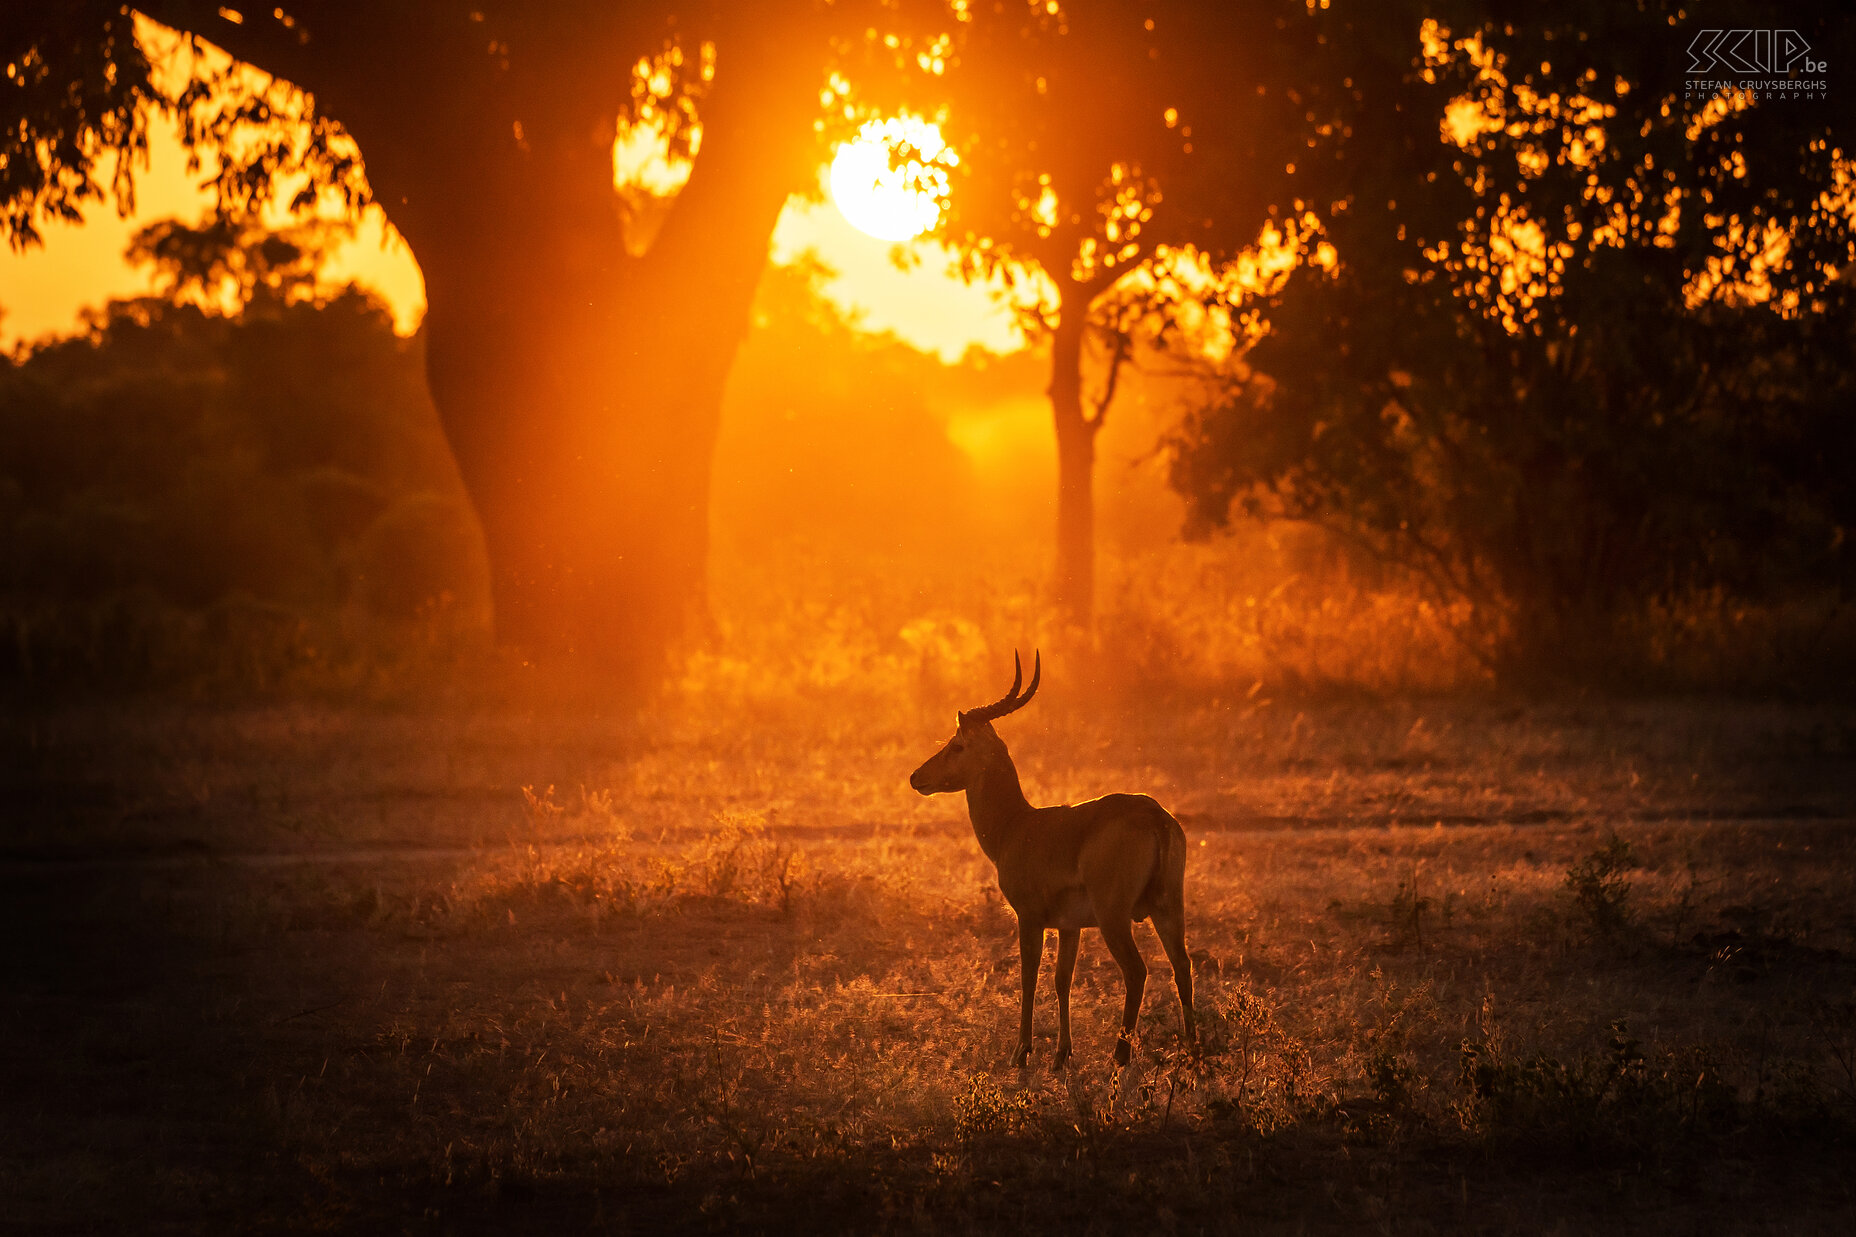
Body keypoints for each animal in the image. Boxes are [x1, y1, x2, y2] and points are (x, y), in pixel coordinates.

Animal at [909, 650, 1195, 1062]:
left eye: (956, 745)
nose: (917, 777)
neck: (1015, 825)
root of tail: (1155, 816)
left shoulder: (1029, 917)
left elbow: (1028, 978)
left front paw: (1021, 1052)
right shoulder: (1069, 925)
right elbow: (1063, 980)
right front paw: (1062, 1054)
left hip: (1115, 917)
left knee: (1137, 971)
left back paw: (1120, 1056)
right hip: (1168, 906)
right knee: (1182, 966)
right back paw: (1194, 1052)